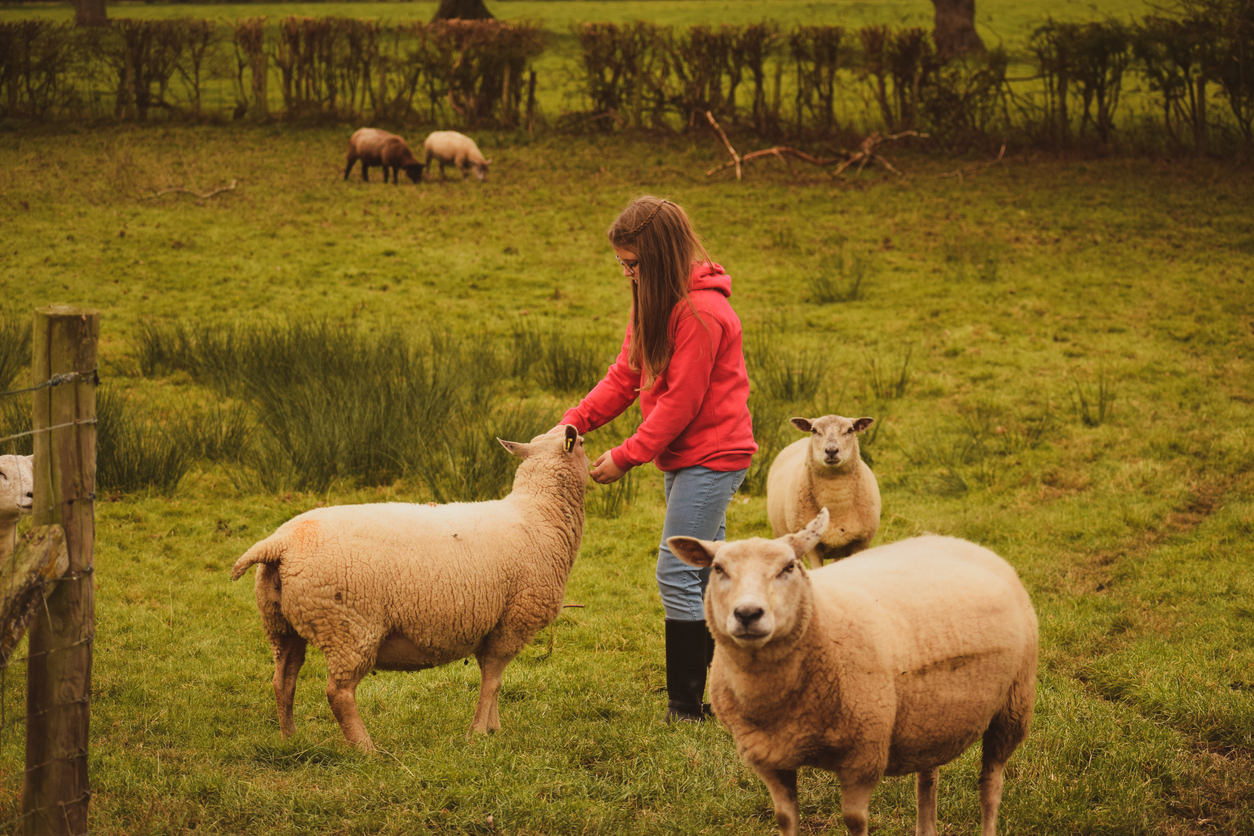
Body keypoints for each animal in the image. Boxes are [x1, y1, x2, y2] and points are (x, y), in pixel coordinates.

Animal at [230, 428, 586, 747]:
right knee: (338, 693)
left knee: (283, 681)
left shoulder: (491, 625)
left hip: (281, 624)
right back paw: (366, 749)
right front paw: (477, 734)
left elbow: (492, 679)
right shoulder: (512, 621)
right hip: (349, 628)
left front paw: (492, 728)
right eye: (582, 442)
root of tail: (280, 543)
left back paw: (289, 738)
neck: (539, 513)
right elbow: (492, 681)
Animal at [672, 511, 1043, 836]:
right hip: (930, 715)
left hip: (1013, 706)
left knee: (991, 784)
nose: (748, 613)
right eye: (718, 569)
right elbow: (785, 818)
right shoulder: (770, 758)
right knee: (928, 777)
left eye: (788, 567)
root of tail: (963, 542)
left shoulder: (863, 754)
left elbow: (854, 820)